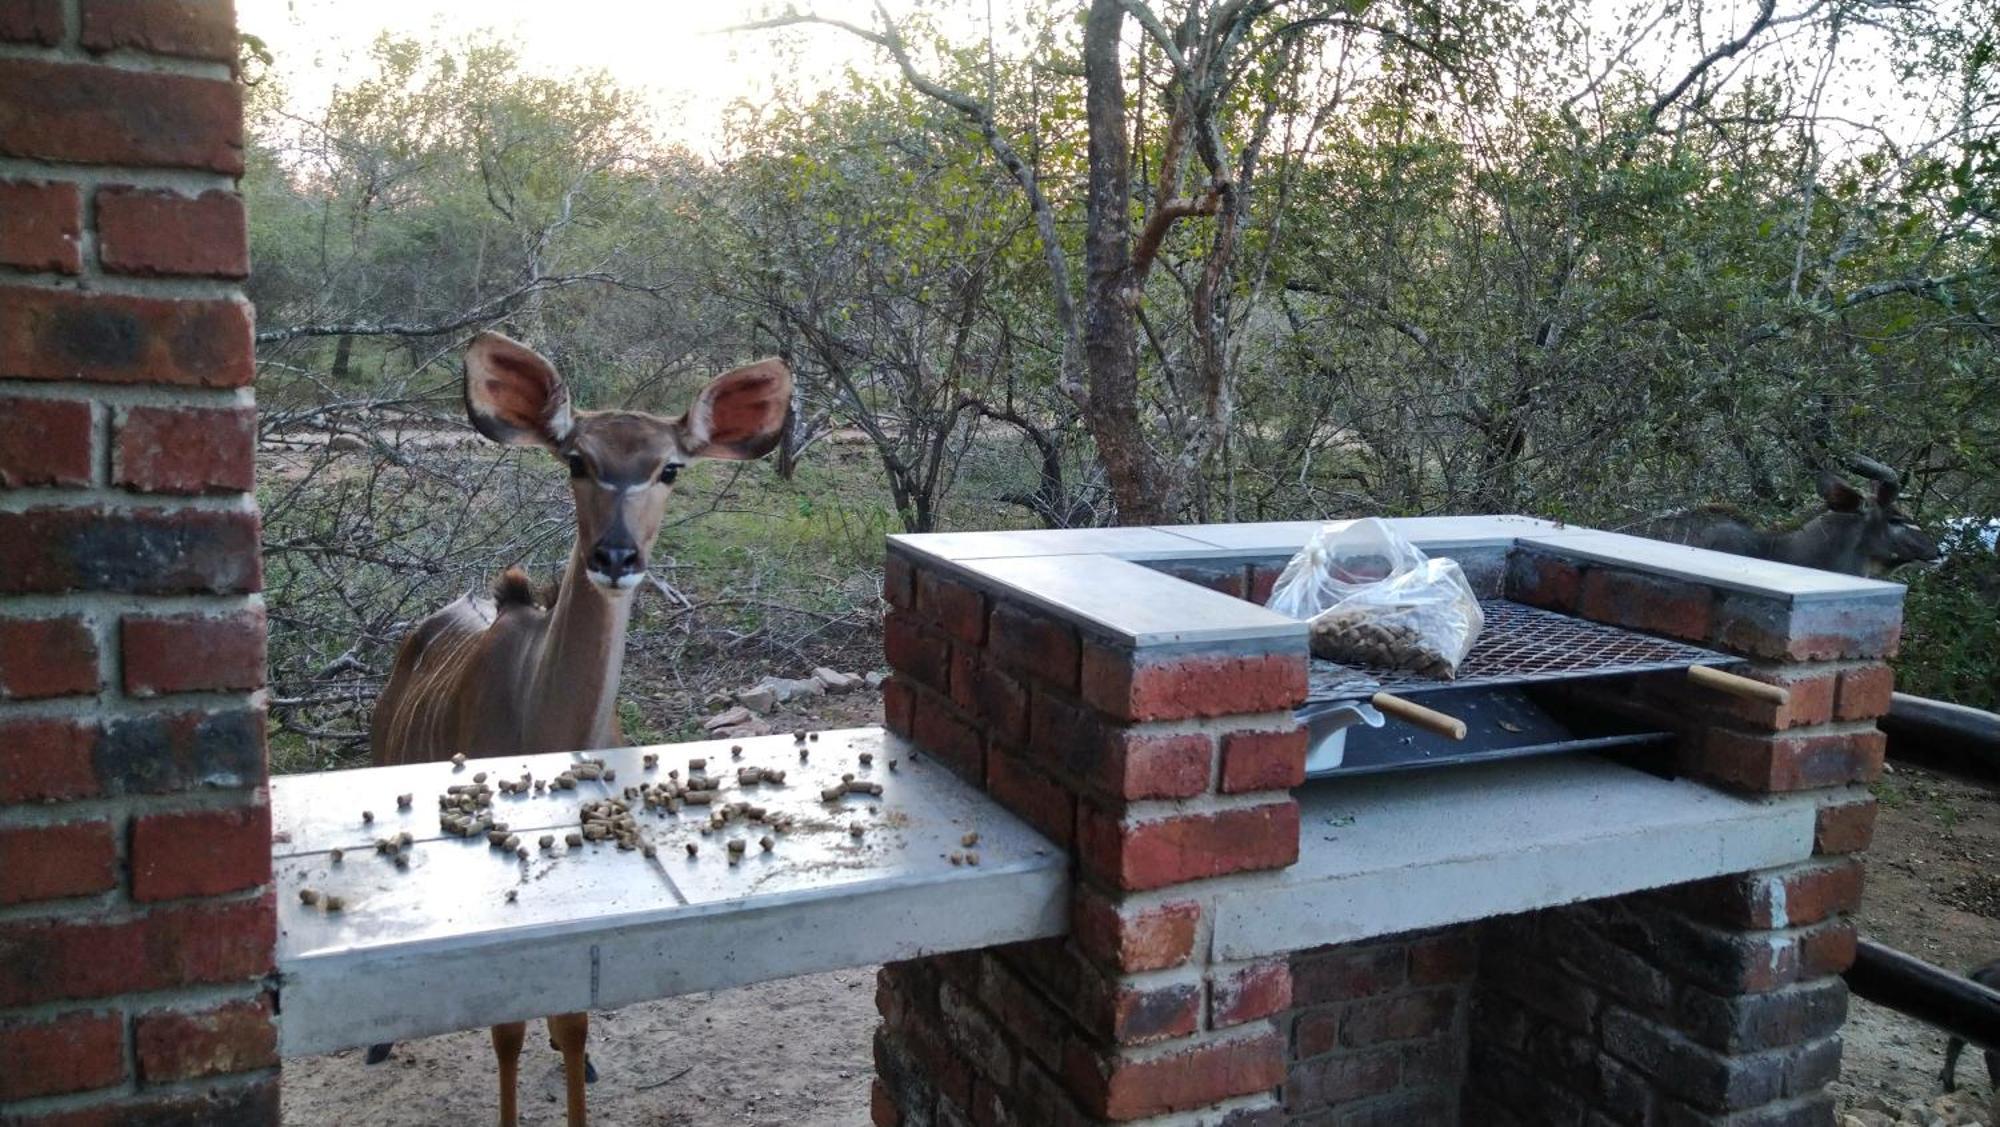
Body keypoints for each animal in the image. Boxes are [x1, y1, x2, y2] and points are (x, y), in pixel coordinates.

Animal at [372, 329, 792, 1119]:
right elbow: (507, 1030)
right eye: (577, 460)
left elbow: (572, 1022)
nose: (617, 556)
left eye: (670, 468)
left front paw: (583, 1064)